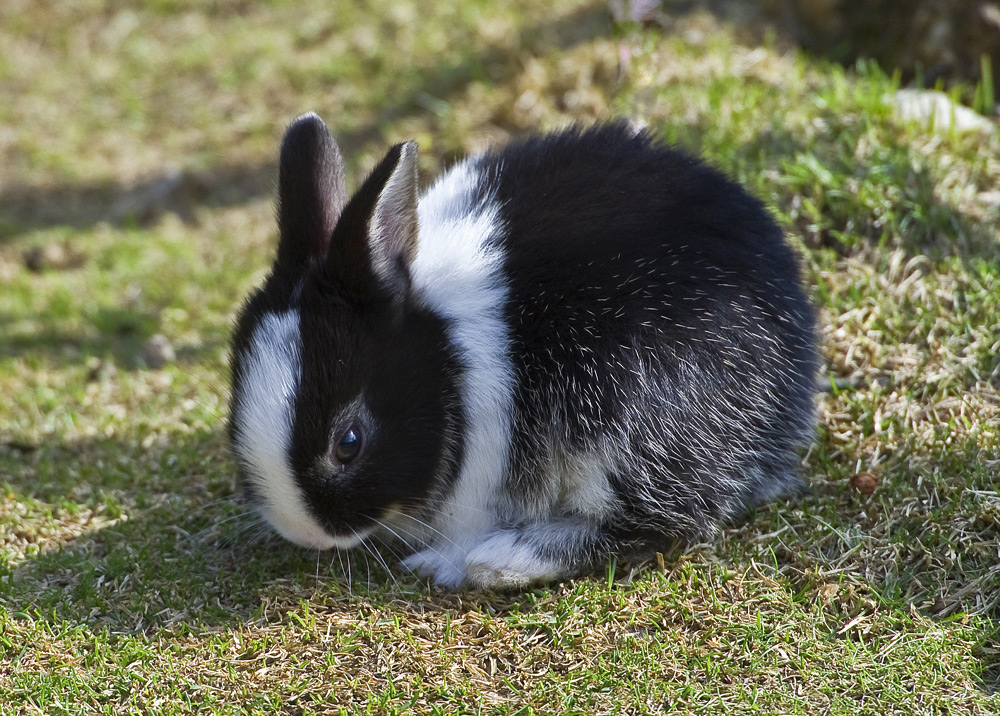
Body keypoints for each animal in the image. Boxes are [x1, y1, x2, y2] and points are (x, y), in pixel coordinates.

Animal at [229, 114, 820, 592]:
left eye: (348, 443)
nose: (308, 534)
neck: (449, 358)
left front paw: (442, 562)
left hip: (642, 416)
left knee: (660, 521)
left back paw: (498, 561)